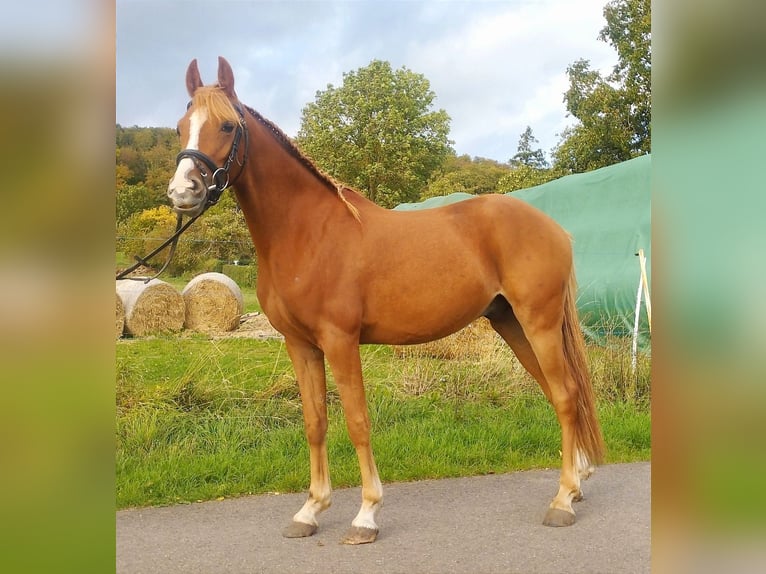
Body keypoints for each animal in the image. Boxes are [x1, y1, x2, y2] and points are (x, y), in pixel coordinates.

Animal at [167, 56, 605, 545]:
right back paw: (577, 483)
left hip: (538, 323)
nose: (183, 192)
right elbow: (315, 423)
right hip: (511, 324)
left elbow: (357, 422)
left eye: (226, 125)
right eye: (181, 126)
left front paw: (366, 515)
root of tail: (553, 227)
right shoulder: (300, 345)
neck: (306, 233)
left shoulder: (340, 341)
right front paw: (310, 510)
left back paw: (562, 500)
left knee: (565, 395)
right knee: (557, 392)